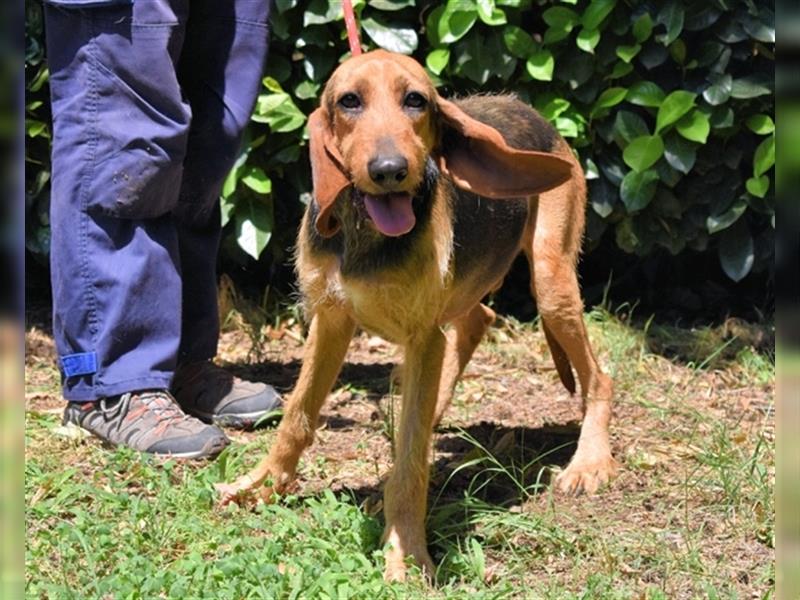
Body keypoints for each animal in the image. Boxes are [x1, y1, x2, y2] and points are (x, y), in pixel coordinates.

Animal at [214, 50, 620, 580]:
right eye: (349, 101)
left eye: (415, 101)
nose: (390, 170)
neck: (367, 235)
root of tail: (529, 110)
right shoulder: (331, 319)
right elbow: (297, 414)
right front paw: (261, 485)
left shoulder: (421, 334)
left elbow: (410, 464)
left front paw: (405, 550)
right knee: (476, 322)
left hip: (551, 282)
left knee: (597, 376)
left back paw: (589, 462)